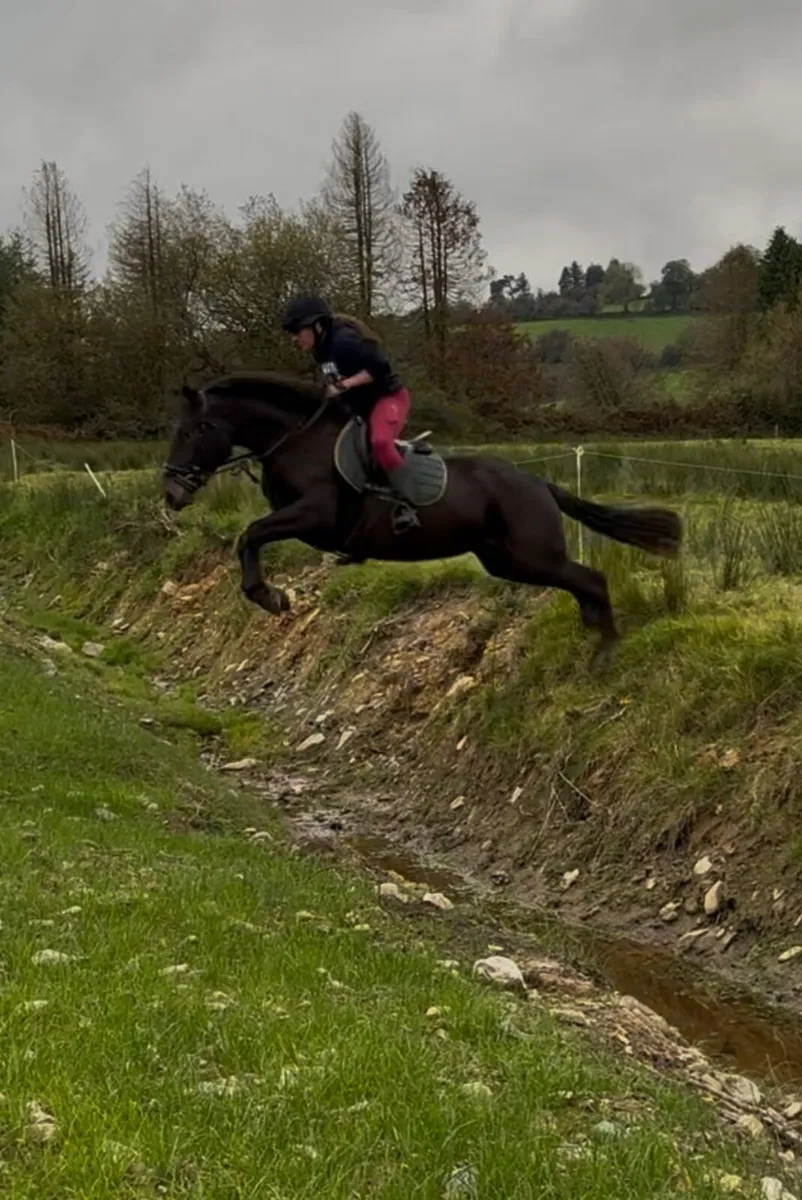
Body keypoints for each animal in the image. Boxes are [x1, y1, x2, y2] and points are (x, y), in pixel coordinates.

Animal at [162, 371, 682, 666]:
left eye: (194, 430)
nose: (171, 493)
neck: (297, 440)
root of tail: (538, 484)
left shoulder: (315, 515)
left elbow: (250, 535)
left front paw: (270, 597)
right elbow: (250, 537)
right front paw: (269, 595)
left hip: (531, 553)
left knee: (591, 578)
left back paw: (606, 648)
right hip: (507, 560)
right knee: (580, 582)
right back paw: (596, 634)